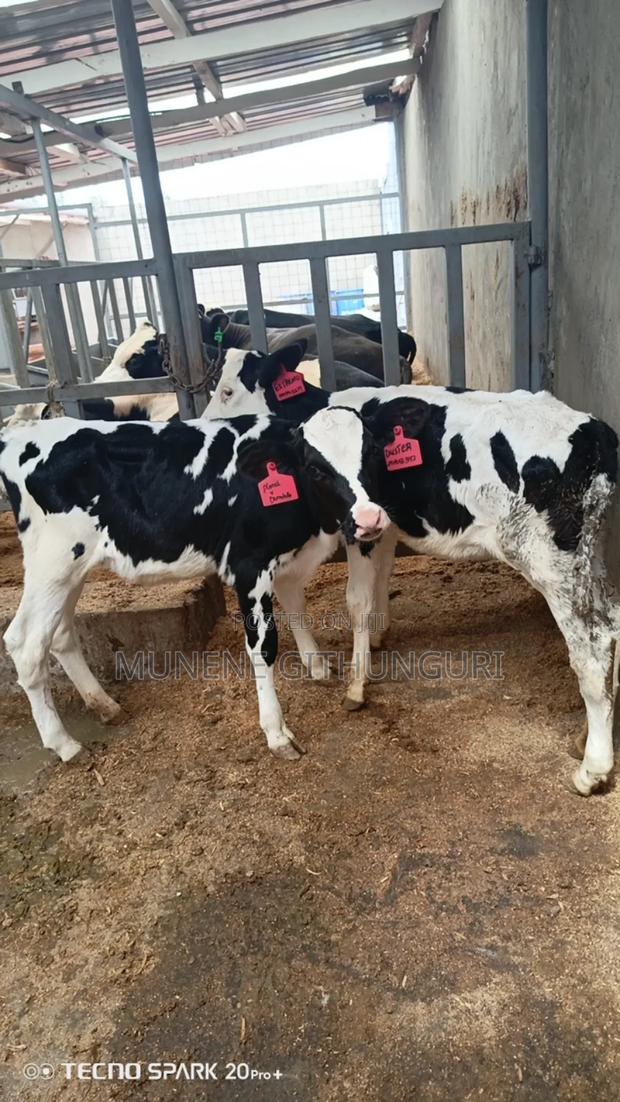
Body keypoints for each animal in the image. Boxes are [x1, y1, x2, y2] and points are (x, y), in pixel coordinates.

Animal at [0, 408, 389, 764]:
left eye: (370, 452)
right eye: (316, 467)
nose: (370, 518)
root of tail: (23, 430)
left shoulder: (287, 559)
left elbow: (297, 608)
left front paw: (317, 667)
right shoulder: (249, 566)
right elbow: (263, 647)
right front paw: (277, 733)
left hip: (73, 569)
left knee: (61, 633)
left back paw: (104, 705)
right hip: (54, 563)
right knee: (25, 643)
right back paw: (64, 744)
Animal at [206, 347, 620, 797]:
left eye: (226, 390)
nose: (205, 423)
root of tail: (594, 430)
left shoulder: (359, 529)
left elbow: (356, 600)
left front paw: (357, 686)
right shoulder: (383, 527)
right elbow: (382, 579)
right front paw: (378, 637)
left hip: (549, 561)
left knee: (592, 647)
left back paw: (592, 769)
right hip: (591, 550)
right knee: (613, 621)